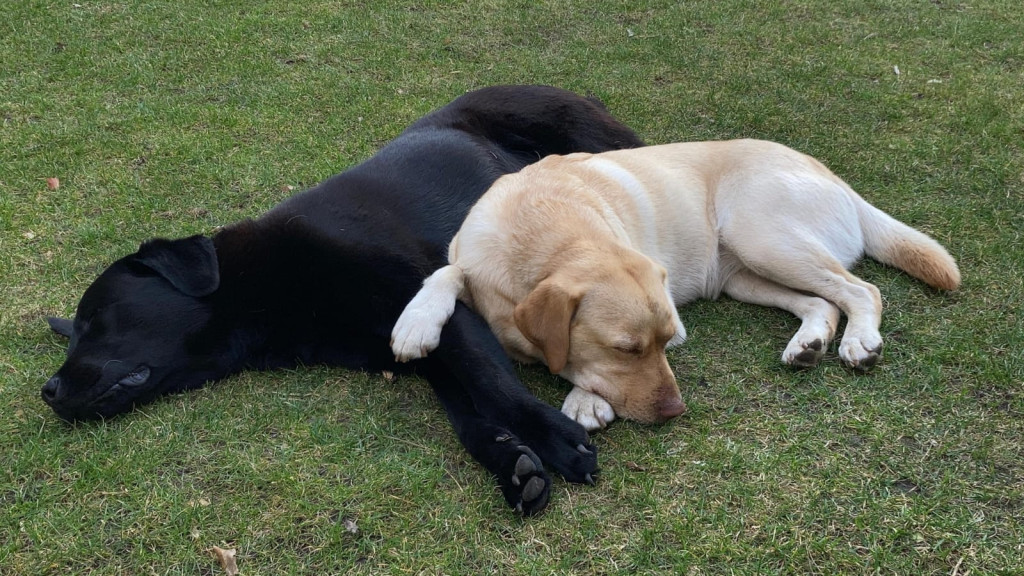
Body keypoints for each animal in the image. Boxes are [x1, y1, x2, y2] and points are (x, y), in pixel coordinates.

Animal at [41, 85, 644, 515]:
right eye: (74, 330)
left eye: (95, 318)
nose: (47, 391)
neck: (269, 283)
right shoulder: (424, 355)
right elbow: (472, 418)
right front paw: (513, 463)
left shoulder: (443, 312)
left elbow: (494, 386)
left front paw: (555, 439)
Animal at [390, 139, 961, 430]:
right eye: (625, 348)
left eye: (667, 342)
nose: (675, 411)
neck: (541, 231)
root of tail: (837, 179)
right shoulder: (469, 253)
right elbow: (447, 270)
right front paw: (416, 323)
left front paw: (582, 399)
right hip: (742, 275)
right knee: (824, 302)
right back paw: (810, 343)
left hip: (762, 235)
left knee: (862, 290)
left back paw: (860, 342)